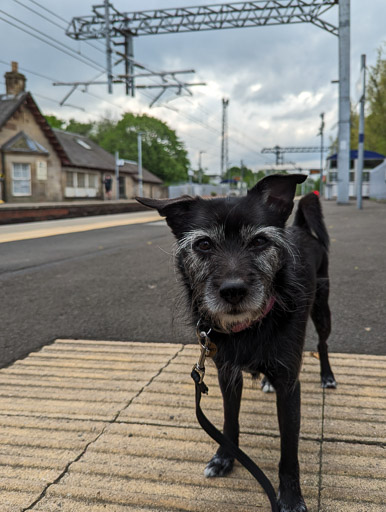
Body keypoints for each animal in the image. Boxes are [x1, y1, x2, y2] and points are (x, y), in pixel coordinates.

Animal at [137, 175, 336, 512]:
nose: (233, 291)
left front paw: (290, 497)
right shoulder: (226, 374)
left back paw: (327, 376)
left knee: (322, 345)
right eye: (203, 244)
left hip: (322, 310)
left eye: (259, 241)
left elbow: (288, 450)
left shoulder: (289, 386)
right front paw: (224, 458)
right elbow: (230, 421)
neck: (250, 326)